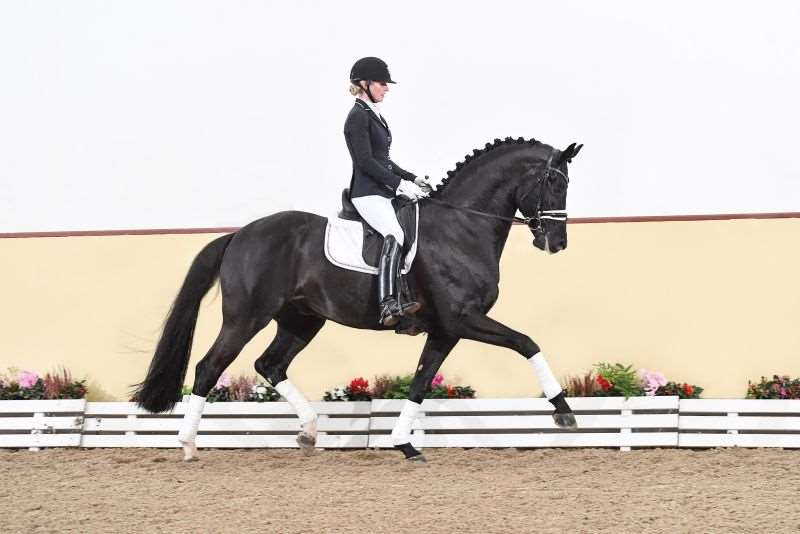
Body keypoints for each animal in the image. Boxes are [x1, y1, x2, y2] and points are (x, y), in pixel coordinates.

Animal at [133, 136, 583, 462]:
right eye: (554, 183)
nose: (557, 243)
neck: (462, 227)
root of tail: (240, 234)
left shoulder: (445, 330)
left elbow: (420, 382)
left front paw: (405, 444)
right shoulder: (462, 319)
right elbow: (527, 342)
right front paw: (563, 411)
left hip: (301, 320)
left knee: (270, 364)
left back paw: (309, 430)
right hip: (246, 317)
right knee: (210, 367)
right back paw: (188, 445)